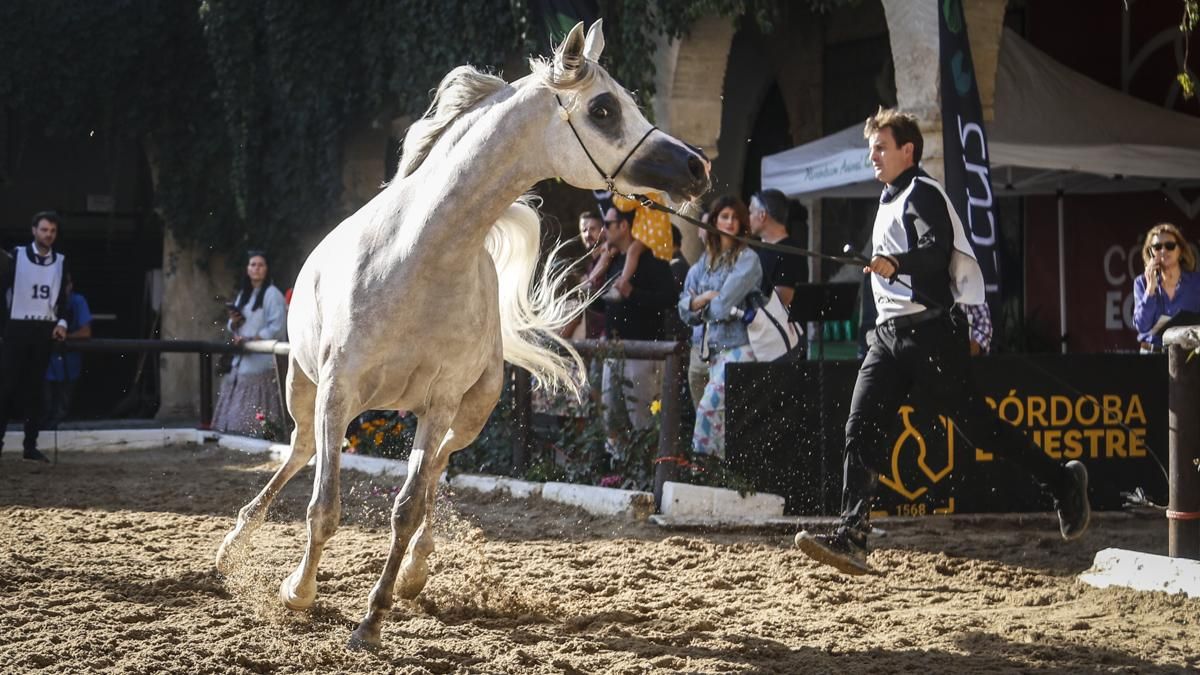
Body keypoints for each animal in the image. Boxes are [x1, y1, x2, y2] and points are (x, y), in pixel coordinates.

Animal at [214, 20, 710, 650]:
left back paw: (415, 570)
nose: (697, 169)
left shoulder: (442, 399)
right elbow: (324, 507)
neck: (418, 256)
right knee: (300, 451)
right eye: (603, 109)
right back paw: (233, 547)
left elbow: (407, 506)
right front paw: (298, 591)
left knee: (434, 472)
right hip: (305, 390)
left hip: (468, 411)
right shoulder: (337, 392)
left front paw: (372, 619)